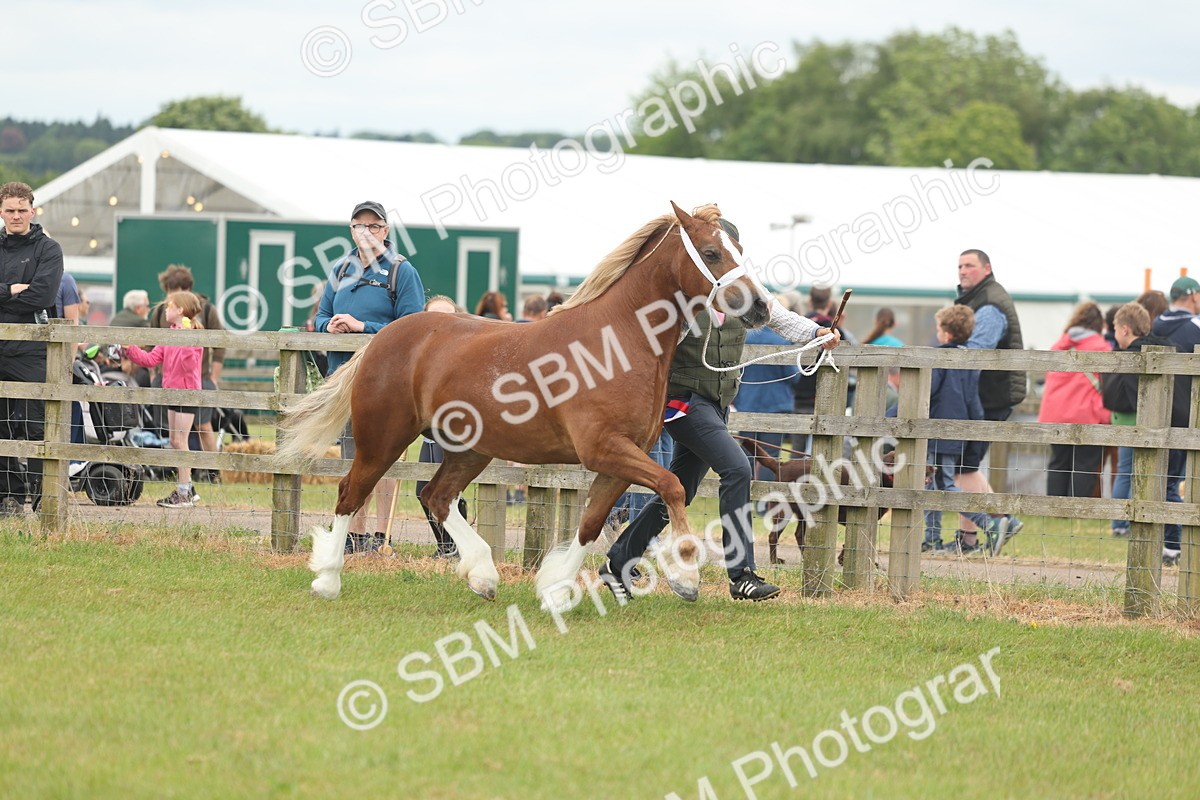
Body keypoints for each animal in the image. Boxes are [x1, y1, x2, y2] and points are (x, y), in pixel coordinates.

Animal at [277, 202, 770, 611]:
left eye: (740, 248)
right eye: (711, 252)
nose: (761, 308)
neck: (617, 342)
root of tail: (381, 339)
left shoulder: (619, 460)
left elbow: (591, 525)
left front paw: (555, 591)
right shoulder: (604, 450)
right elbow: (671, 487)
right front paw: (686, 577)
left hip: (469, 450)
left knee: (437, 496)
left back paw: (482, 576)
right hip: (382, 439)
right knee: (351, 493)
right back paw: (328, 581)